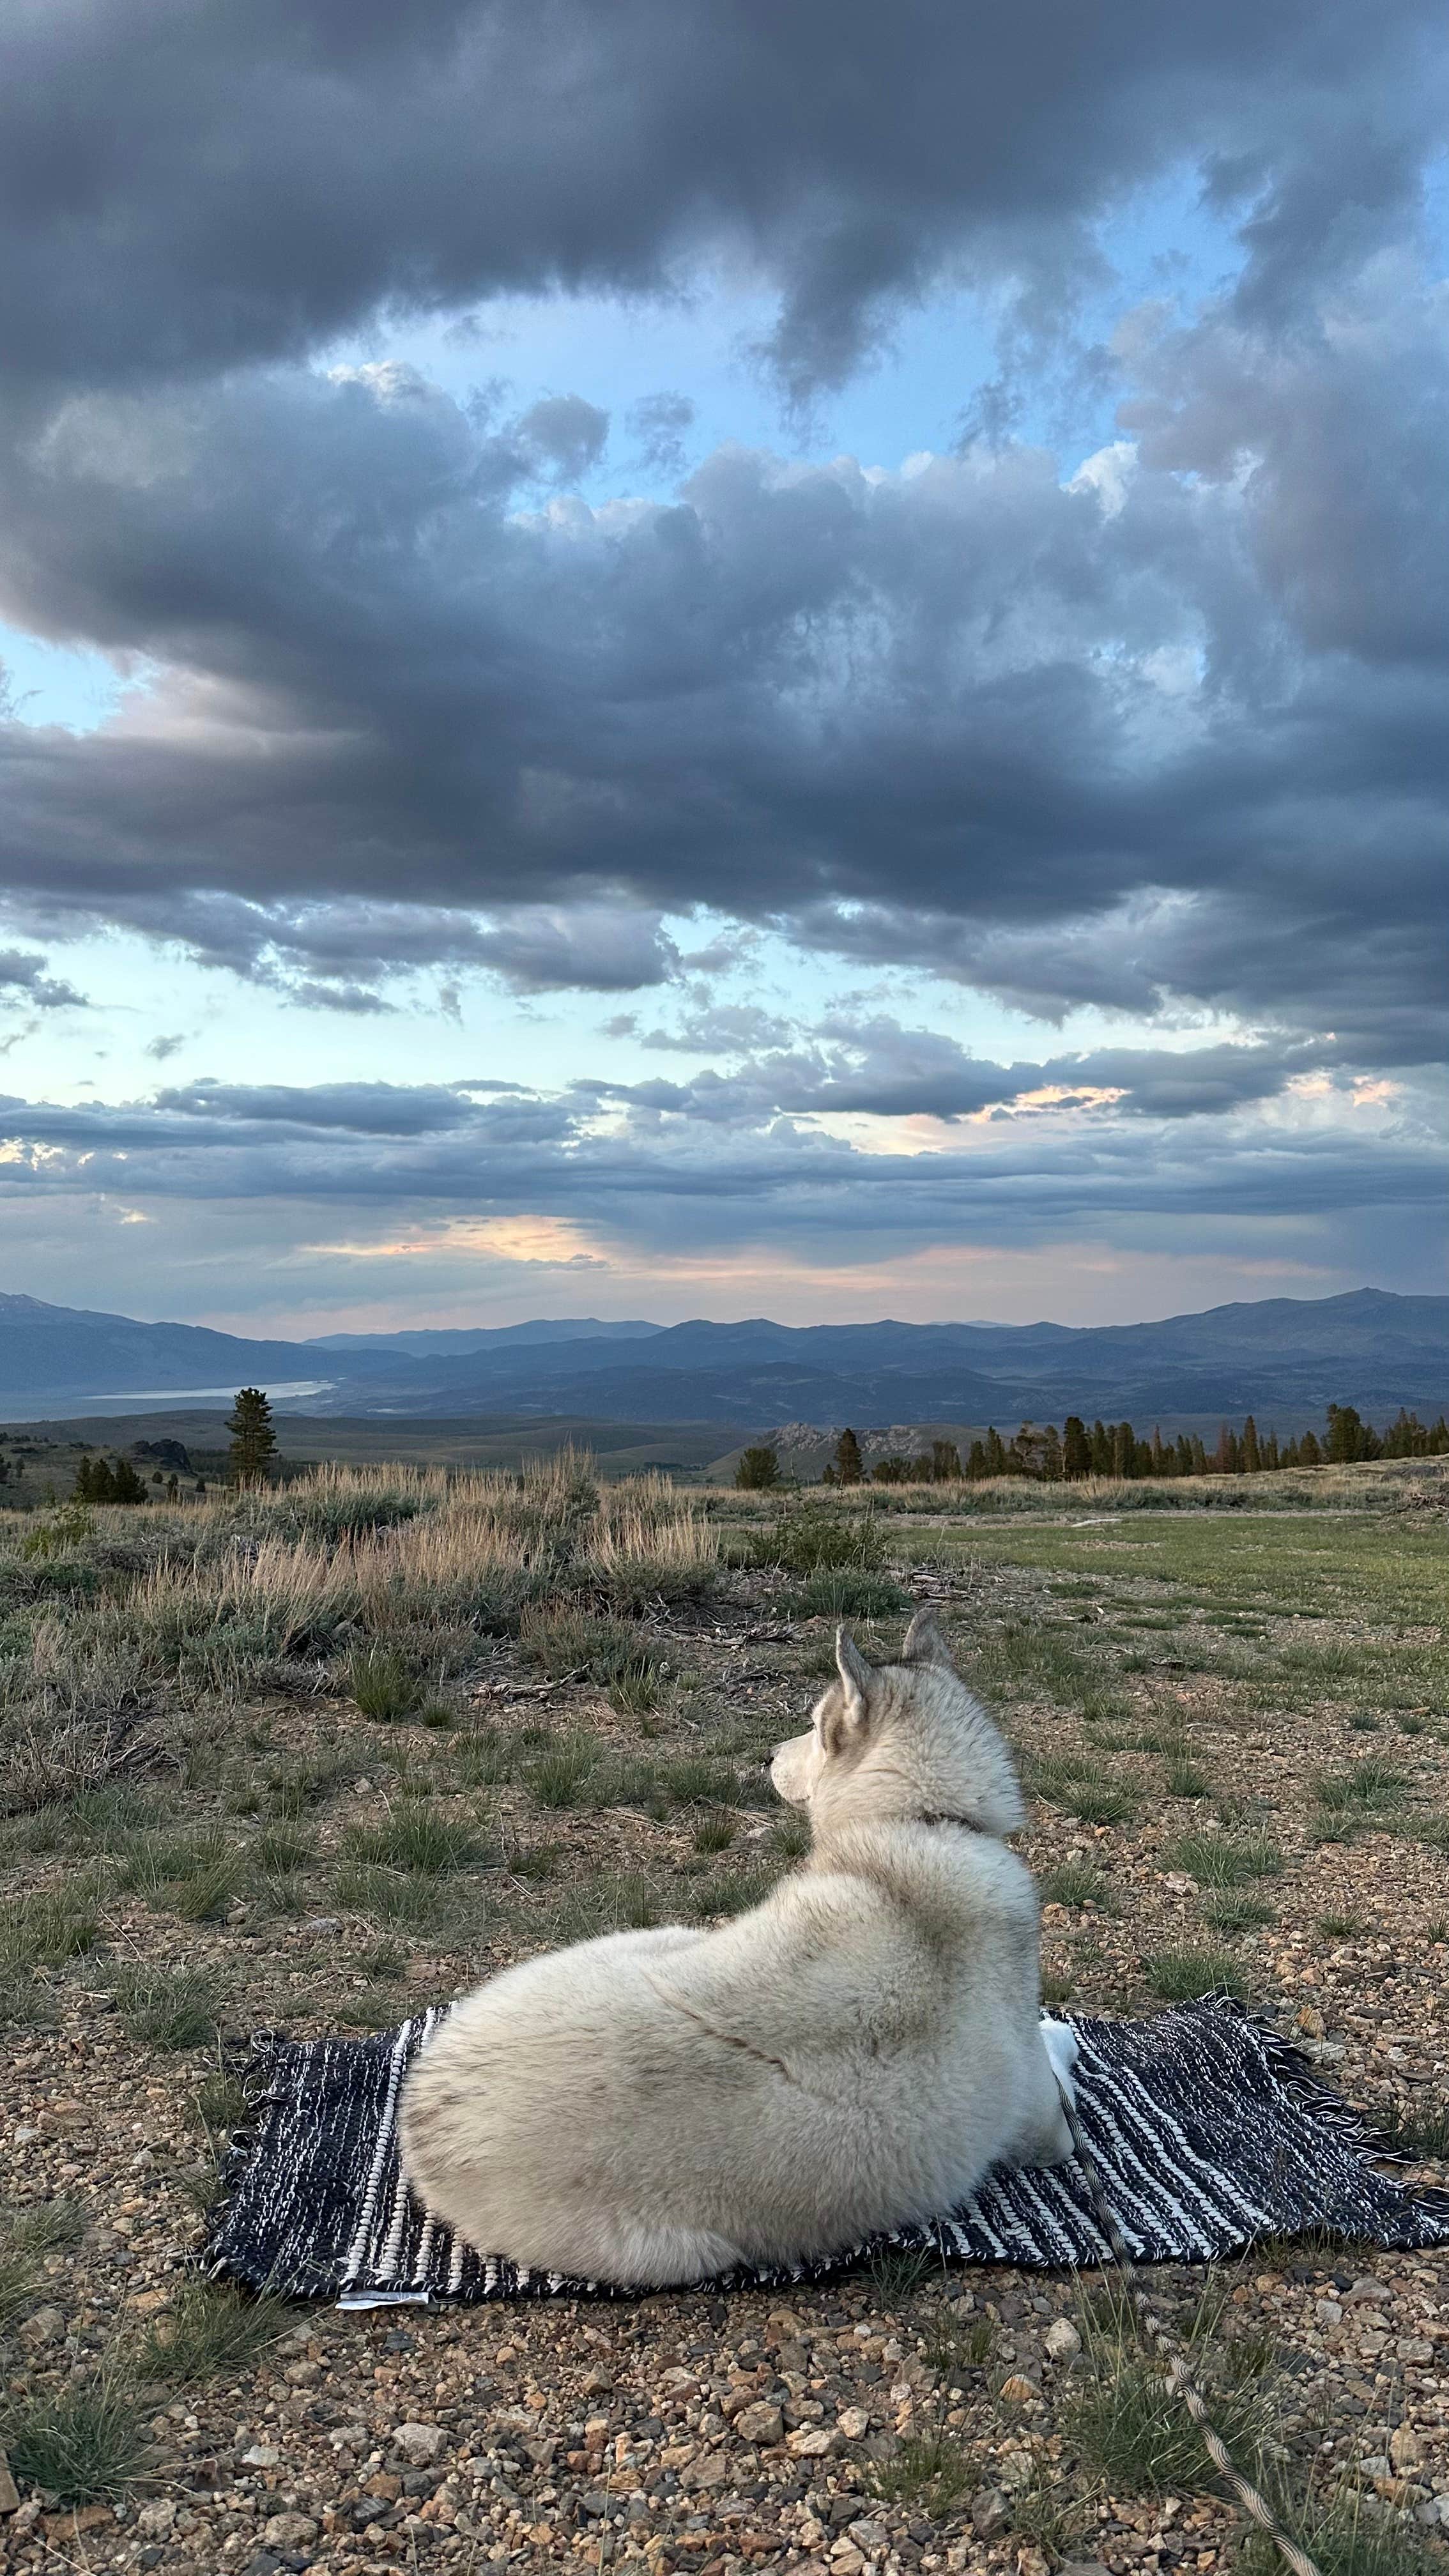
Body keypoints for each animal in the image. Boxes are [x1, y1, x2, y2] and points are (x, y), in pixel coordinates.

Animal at [394, 1597, 1072, 2287]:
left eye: (814, 1726)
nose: (767, 1755)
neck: (927, 1824)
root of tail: (425, 2116)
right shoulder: (1045, 2120)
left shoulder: (1045, 2125)